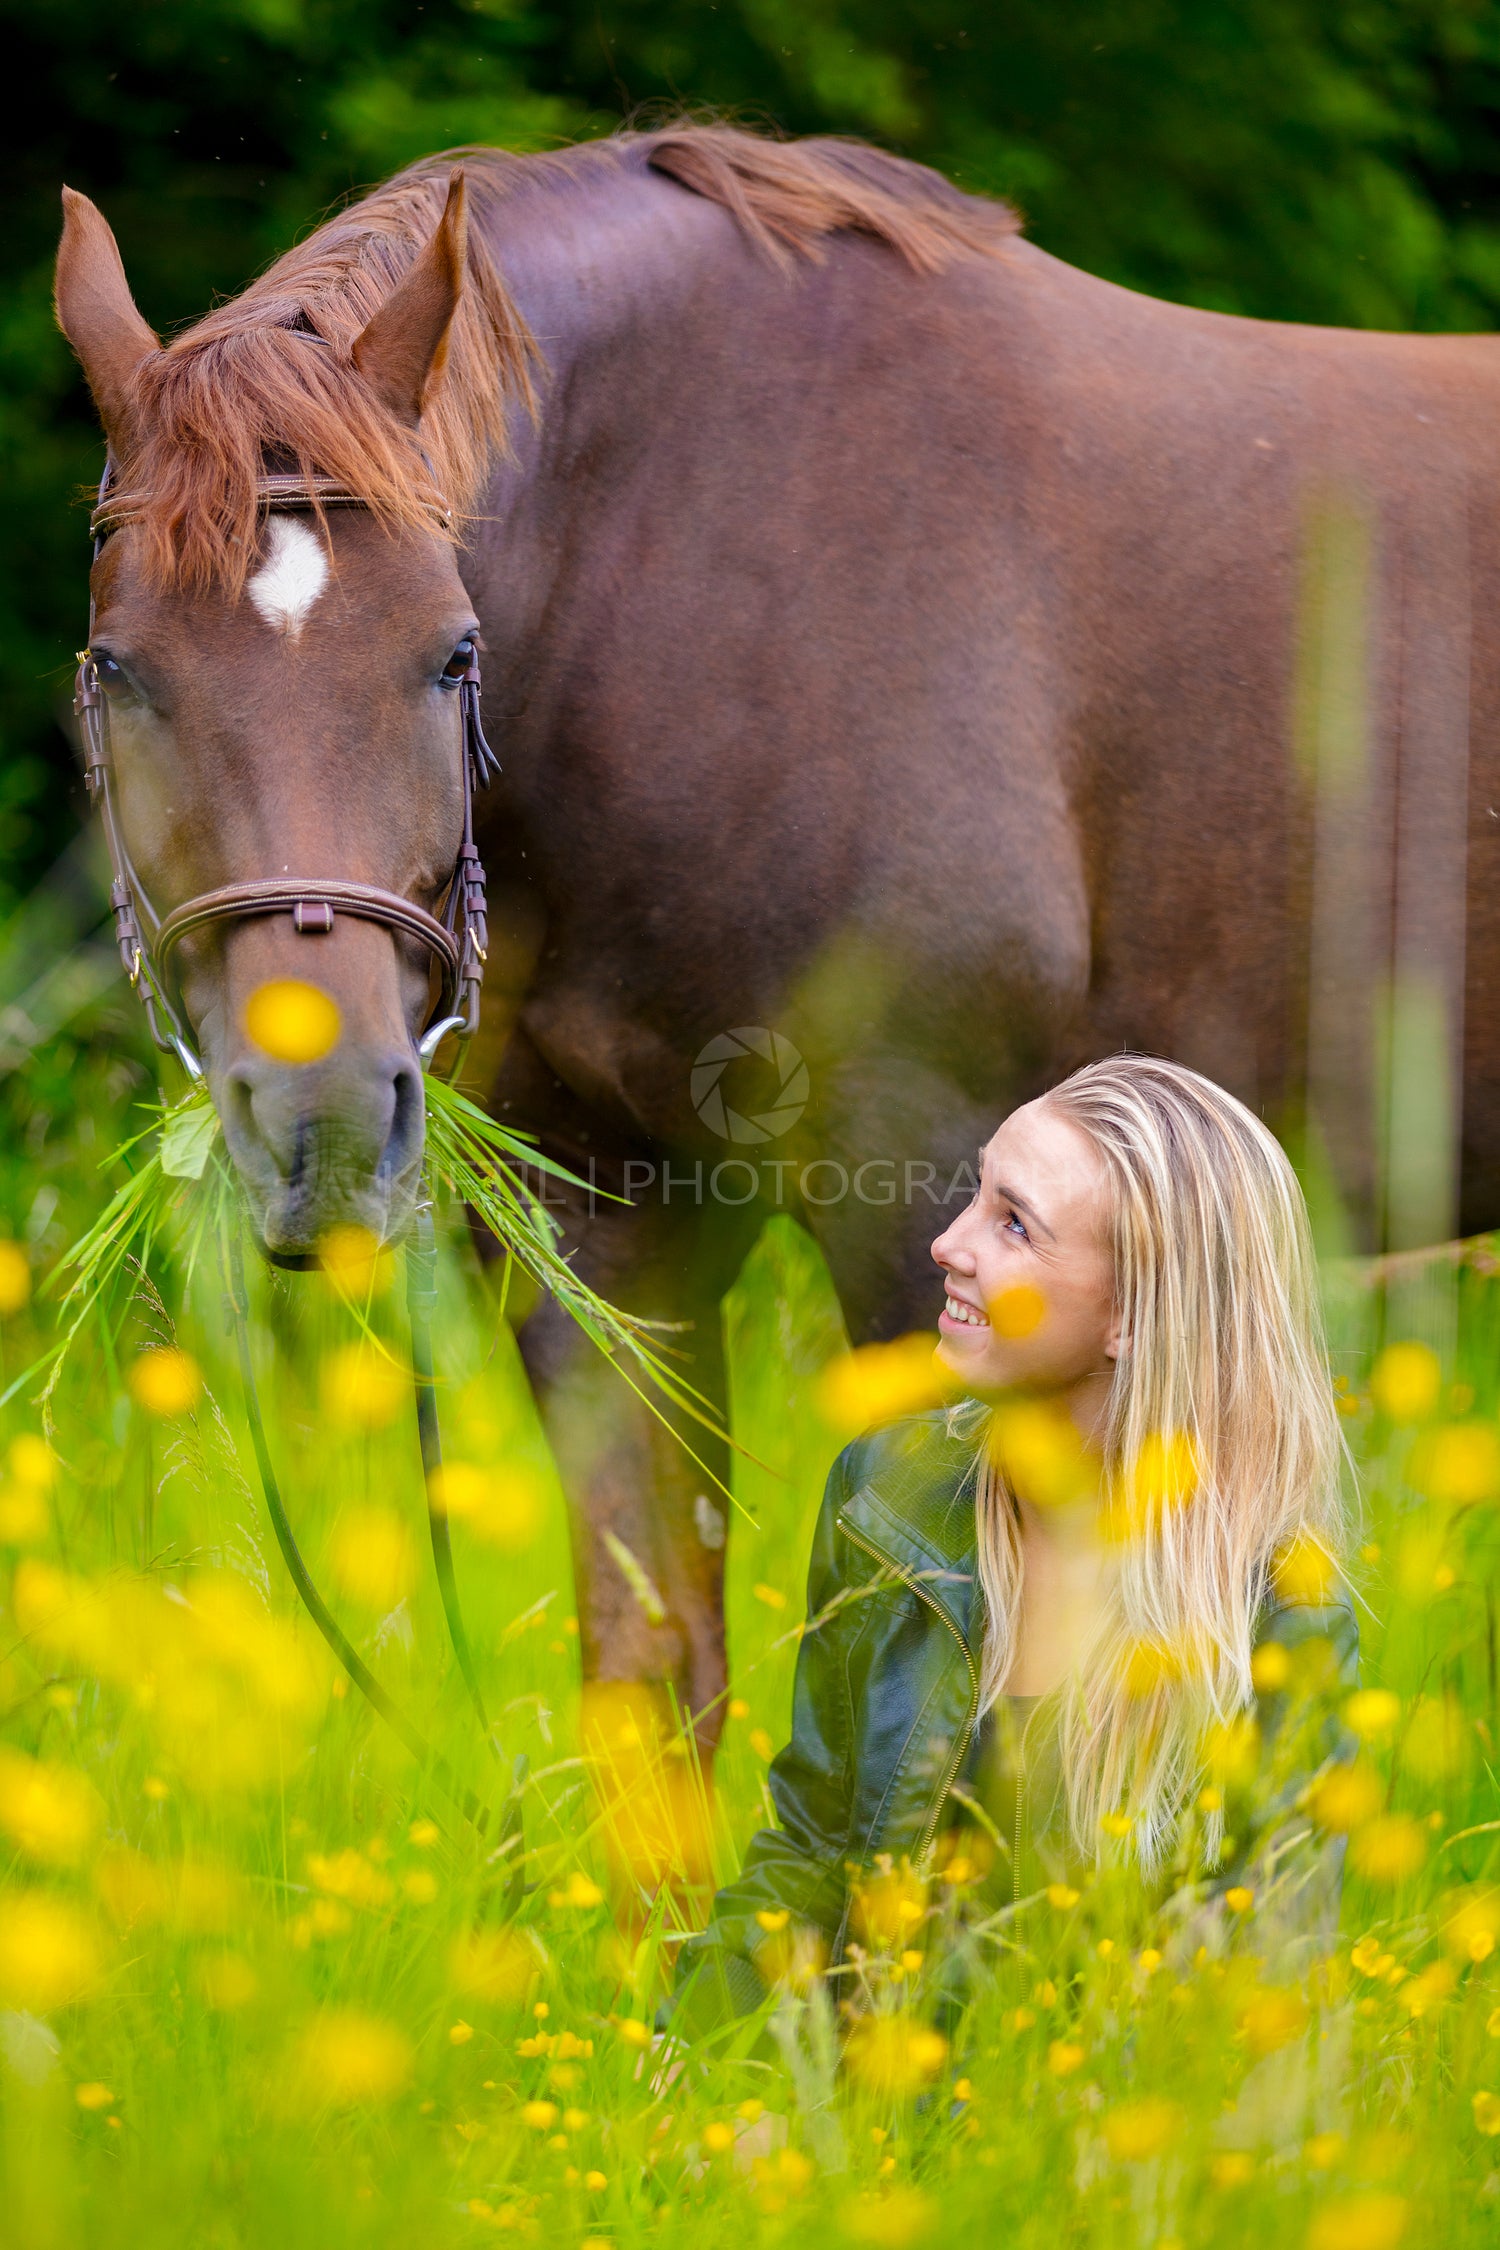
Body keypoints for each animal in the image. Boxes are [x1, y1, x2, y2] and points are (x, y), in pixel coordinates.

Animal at [52, 123, 1500, 1719]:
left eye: (453, 654)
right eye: (118, 668)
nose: (321, 1117)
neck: (687, 558)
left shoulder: (927, 1190)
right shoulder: (614, 1233)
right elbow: (656, 1679)